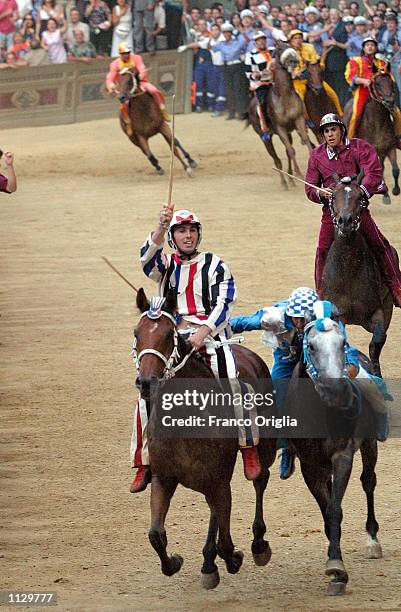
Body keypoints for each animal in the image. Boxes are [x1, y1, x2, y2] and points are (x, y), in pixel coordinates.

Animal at [133, 290, 276, 592]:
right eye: (136, 333)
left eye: (169, 335)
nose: (147, 382)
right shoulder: (164, 479)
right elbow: (155, 534)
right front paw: (174, 562)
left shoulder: (219, 480)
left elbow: (225, 542)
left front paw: (234, 558)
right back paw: (209, 563)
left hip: (263, 451)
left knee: (260, 479)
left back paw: (257, 545)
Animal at [318, 176, 394, 378]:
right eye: (333, 195)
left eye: (361, 196)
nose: (345, 220)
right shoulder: (339, 314)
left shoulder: (378, 311)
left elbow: (378, 340)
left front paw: (376, 373)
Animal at [342, 68, 398, 204]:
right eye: (377, 84)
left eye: (391, 82)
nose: (390, 101)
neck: (377, 124)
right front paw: (386, 195)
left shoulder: (389, 147)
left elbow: (395, 169)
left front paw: (395, 191)